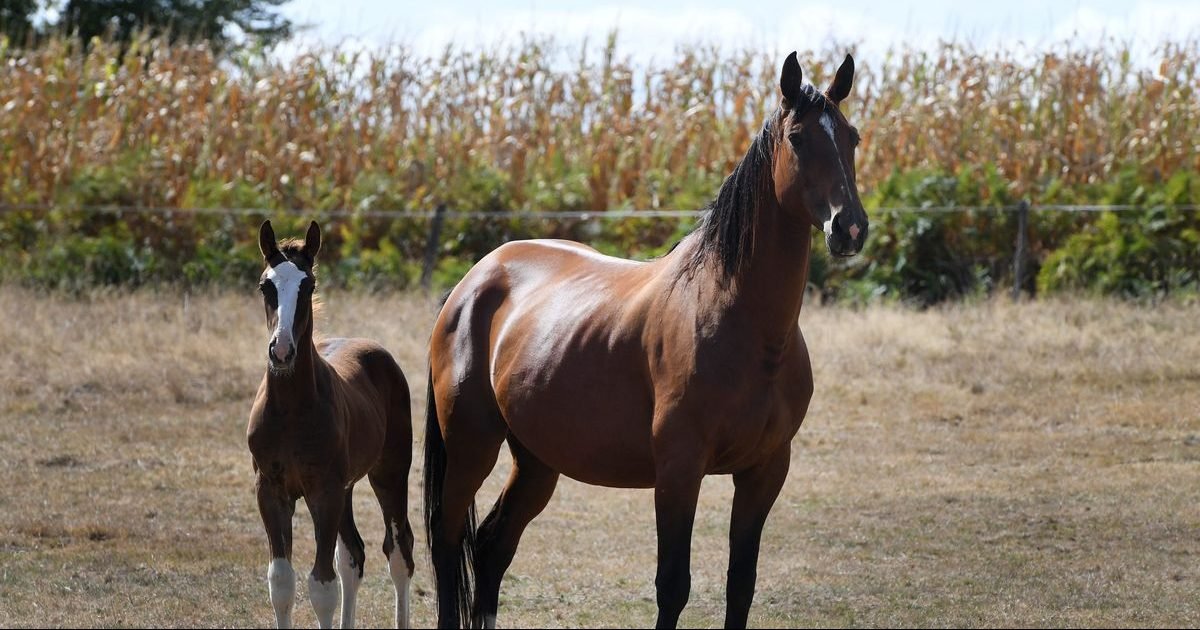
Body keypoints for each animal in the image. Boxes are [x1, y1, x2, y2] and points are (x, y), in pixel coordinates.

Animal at [246, 219, 415, 624]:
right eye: (265, 285)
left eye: (308, 285)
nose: (281, 351)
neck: (291, 412)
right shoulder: (271, 490)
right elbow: (282, 583)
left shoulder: (324, 492)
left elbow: (322, 586)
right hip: (347, 488)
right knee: (353, 554)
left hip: (389, 473)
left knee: (399, 551)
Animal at [427, 51, 868, 624]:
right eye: (797, 138)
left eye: (852, 137)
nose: (849, 228)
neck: (745, 328)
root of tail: (474, 281)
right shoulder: (678, 473)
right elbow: (672, 586)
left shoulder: (764, 472)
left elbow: (741, 585)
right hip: (471, 449)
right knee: (446, 546)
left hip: (536, 462)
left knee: (490, 547)